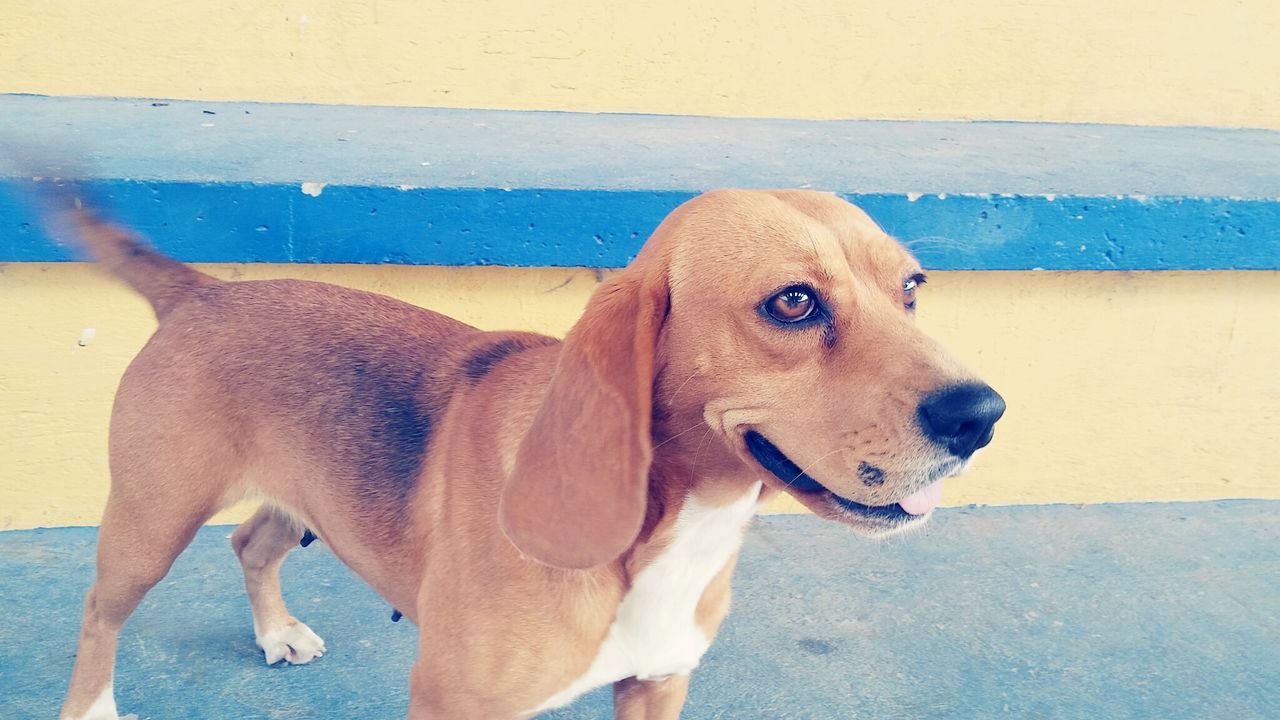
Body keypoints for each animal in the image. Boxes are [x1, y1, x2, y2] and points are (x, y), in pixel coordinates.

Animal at [42, 185, 1008, 717]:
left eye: (913, 287)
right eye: (794, 303)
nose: (984, 414)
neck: (665, 531)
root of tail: (201, 292)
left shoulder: (657, 687)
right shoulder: (449, 706)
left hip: (305, 501)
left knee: (252, 542)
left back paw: (276, 632)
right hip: (150, 526)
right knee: (97, 613)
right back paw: (93, 709)